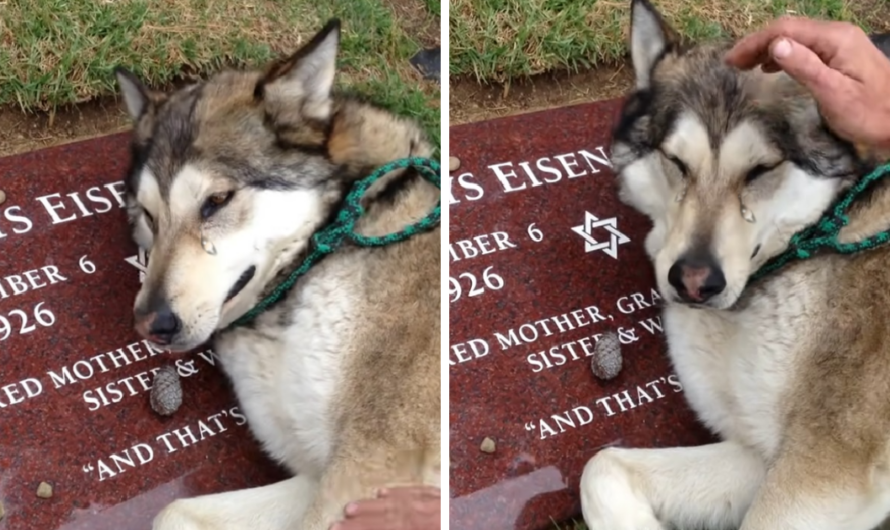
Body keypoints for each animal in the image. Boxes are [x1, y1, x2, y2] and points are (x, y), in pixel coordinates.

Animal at [114, 18, 440, 528]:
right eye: (149, 215)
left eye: (217, 201)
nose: (151, 324)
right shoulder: (316, 476)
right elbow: (172, 509)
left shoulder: (368, 468)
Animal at [576, 1, 890, 528]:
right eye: (676, 162)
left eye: (761, 170)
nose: (693, 282)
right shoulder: (759, 452)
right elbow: (600, 466)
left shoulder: (823, 473)